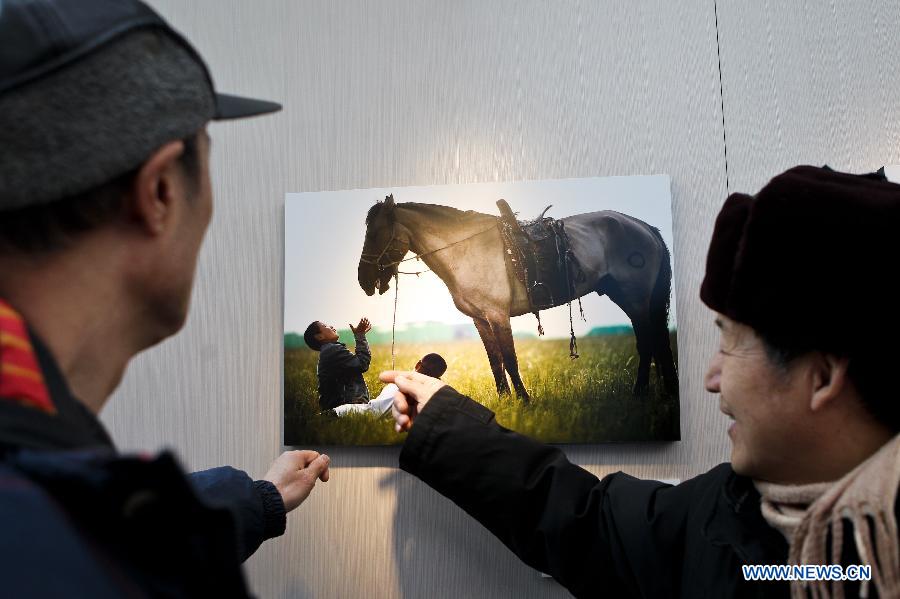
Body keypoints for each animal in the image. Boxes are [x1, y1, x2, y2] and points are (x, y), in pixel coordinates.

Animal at [356, 197, 676, 400]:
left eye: (375, 233)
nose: (363, 281)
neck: (466, 250)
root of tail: (644, 227)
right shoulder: (481, 319)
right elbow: (495, 361)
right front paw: (504, 400)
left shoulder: (498, 315)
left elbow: (510, 359)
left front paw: (523, 400)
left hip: (635, 298)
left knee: (647, 342)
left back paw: (639, 393)